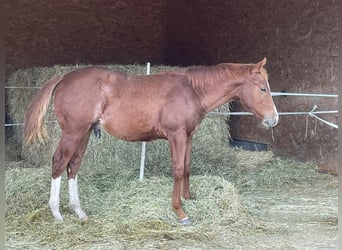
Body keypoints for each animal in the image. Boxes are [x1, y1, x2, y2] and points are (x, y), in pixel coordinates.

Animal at [26, 57, 278, 226]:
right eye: (262, 88)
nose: (274, 119)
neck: (192, 90)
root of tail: (65, 77)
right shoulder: (176, 135)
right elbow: (177, 170)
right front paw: (180, 211)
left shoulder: (188, 136)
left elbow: (187, 166)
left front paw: (189, 197)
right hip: (73, 132)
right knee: (59, 163)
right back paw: (57, 212)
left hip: (85, 132)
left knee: (74, 165)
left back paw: (78, 211)